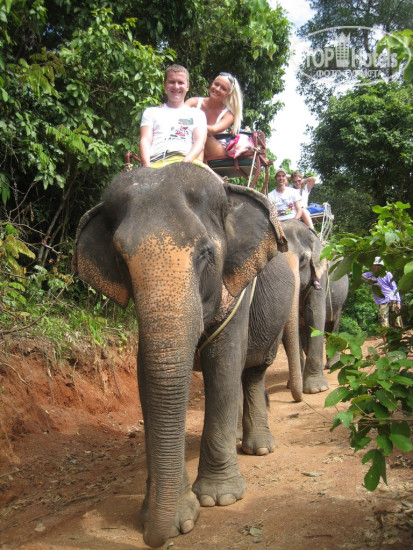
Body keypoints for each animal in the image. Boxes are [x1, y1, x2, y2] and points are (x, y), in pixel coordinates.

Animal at [72, 163, 303, 548]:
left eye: (206, 253)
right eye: (120, 259)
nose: (154, 537)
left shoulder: (237, 289)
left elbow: (224, 364)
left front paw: (218, 499)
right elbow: (148, 377)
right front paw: (178, 515)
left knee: (252, 371)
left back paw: (258, 448)